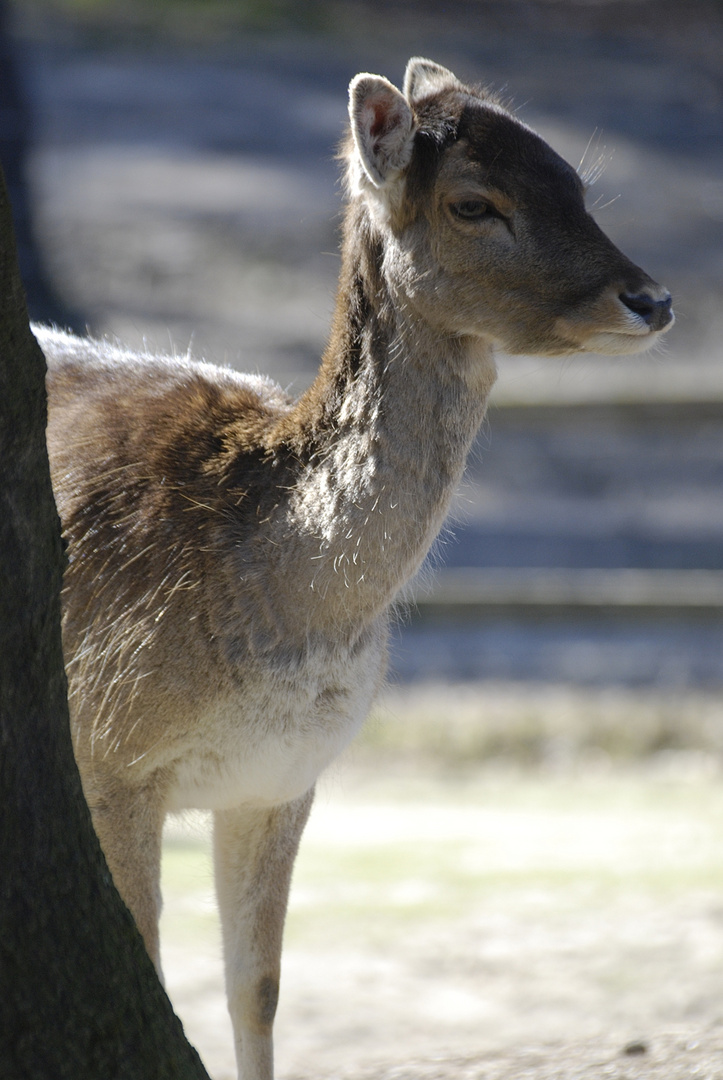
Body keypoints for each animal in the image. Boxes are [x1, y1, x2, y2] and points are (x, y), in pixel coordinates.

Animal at [40, 56, 670, 1080]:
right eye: (473, 202)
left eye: (575, 183)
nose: (651, 300)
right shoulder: (110, 759)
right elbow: (153, 969)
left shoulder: (285, 778)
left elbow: (256, 989)